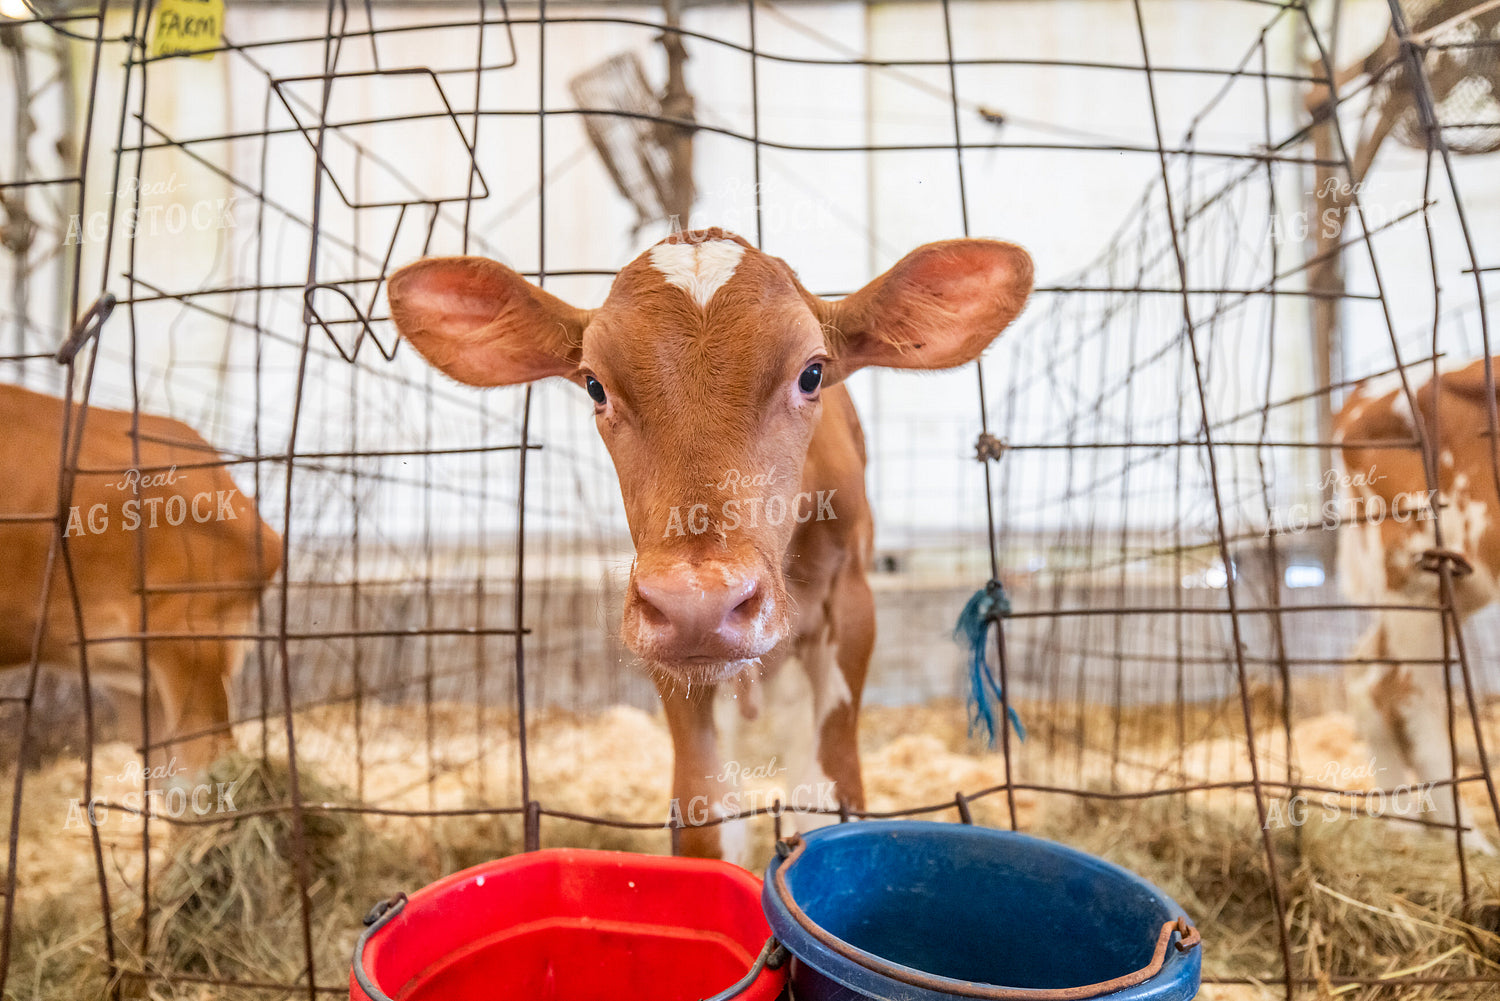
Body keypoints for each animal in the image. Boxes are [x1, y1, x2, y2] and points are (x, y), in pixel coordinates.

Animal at [387, 227, 1033, 858]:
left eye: (812, 374)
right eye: (595, 385)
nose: (699, 601)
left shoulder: (851, 607)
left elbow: (825, 798)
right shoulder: (670, 651)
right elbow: (707, 814)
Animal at [1335, 357, 1500, 854]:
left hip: (1456, 586)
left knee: (1365, 672)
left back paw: (1404, 821)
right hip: (1418, 578)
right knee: (1408, 695)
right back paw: (1470, 842)